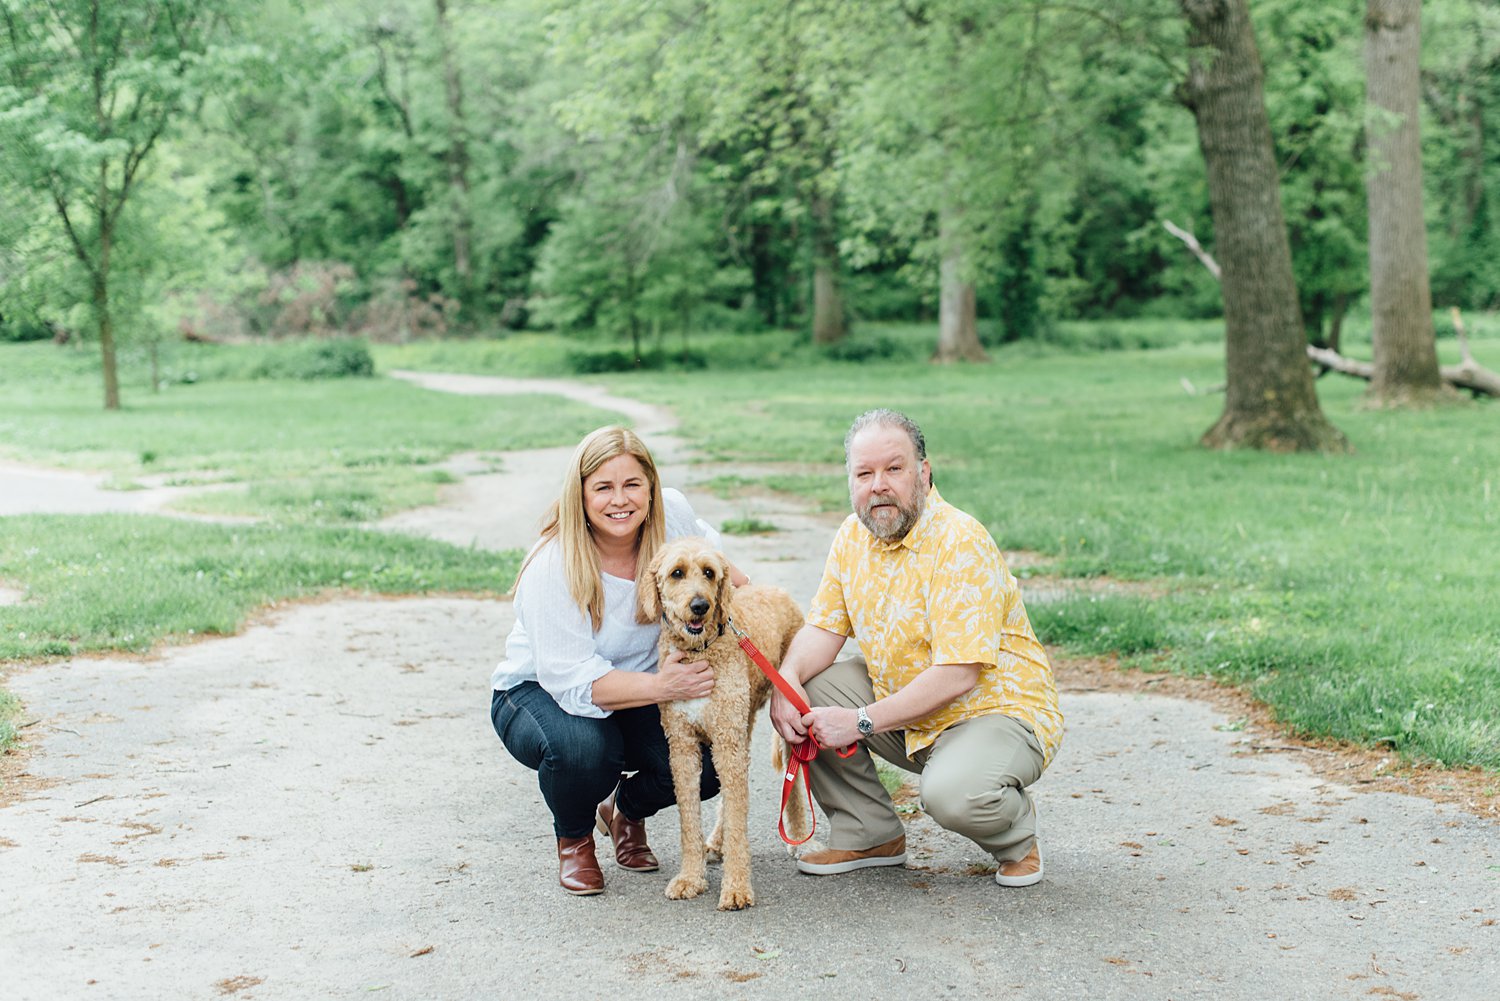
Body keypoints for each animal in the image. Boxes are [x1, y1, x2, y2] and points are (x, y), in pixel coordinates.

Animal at [642, 540, 810, 906]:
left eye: (709, 572)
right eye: (677, 573)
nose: (700, 606)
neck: (700, 652)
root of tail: (777, 590)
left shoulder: (727, 742)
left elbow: (738, 821)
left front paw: (735, 888)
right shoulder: (683, 747)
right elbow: (689, 819)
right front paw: (690, 878)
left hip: (786, 716)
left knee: (792, 781)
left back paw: (801, 840)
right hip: (741, 725)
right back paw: (716, 843)